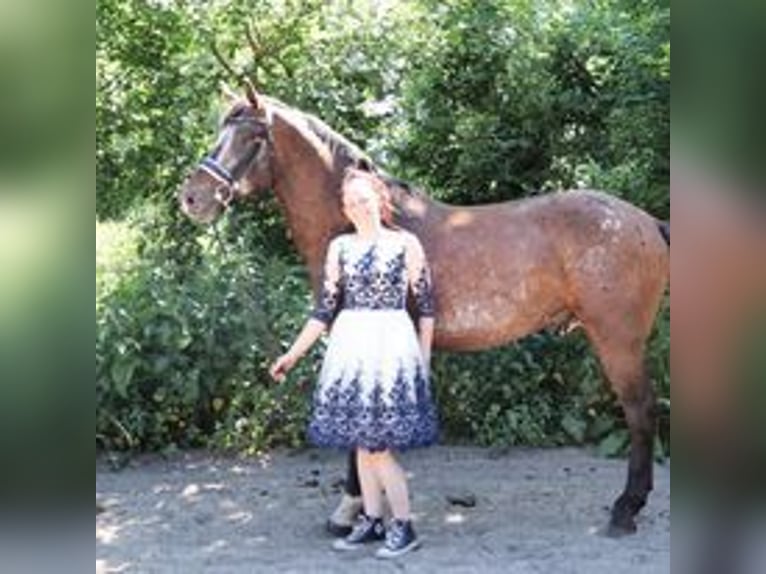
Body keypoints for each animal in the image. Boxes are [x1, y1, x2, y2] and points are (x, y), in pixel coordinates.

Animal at [180, 85, 672, 540]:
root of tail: (647, 222)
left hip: (619, 343)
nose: (192, 198)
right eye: (220, 130)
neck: (368, 226)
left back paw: (625, 509)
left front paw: (351, 509)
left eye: (253, 136)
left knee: (641, 412)